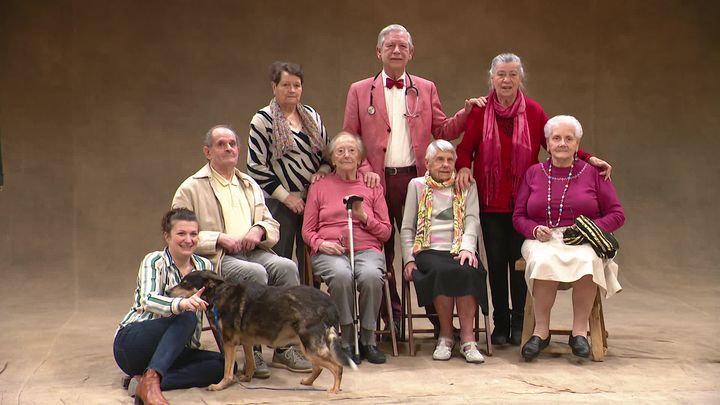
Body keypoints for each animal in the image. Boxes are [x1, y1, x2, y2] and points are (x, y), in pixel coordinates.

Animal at [169, 270, 354, 392]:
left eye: (185, 284)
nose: (167, 291)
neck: (218, 293)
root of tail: (331, 305)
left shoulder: (229, 342)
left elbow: (227, 370)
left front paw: (221, 385)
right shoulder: (247, 341)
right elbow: (250, 362)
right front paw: (247, 377)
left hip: (310, 346)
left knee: (337, 367)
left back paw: (334, 391)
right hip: (307, 346)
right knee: (319, 368)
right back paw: (308, 382)